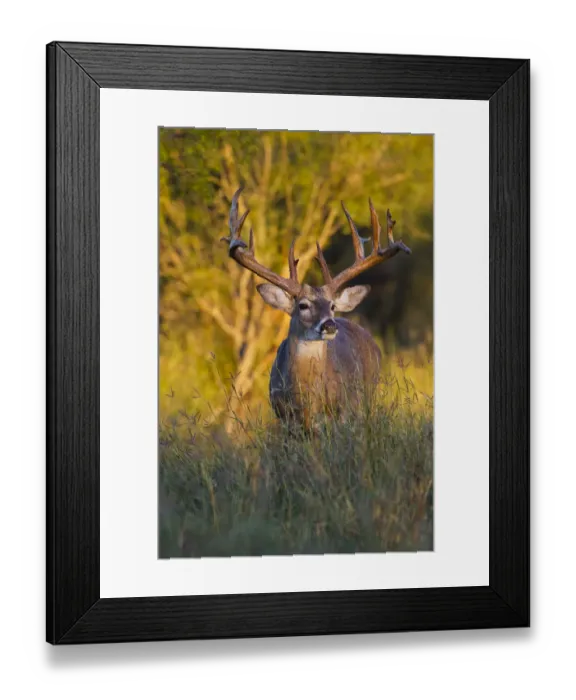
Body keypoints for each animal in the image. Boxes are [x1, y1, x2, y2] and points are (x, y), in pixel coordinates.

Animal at [220, 187, 412, 429]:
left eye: (332, 306)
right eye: (303, 305)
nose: (329, 325)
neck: (308, 404)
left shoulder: (343, 413)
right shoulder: (284, 419)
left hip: (367, 396)